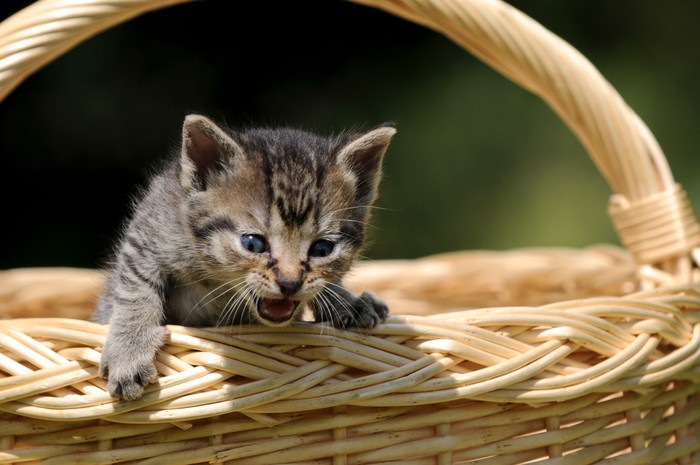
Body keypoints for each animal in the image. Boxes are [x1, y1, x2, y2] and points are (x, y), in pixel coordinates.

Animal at [93, 115, 396, 398]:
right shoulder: (148, 234)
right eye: (253, 243)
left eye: (322, 249)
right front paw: (128, 351)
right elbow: (135, 288)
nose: (289, 283)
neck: (218, 281)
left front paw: (347, 301)